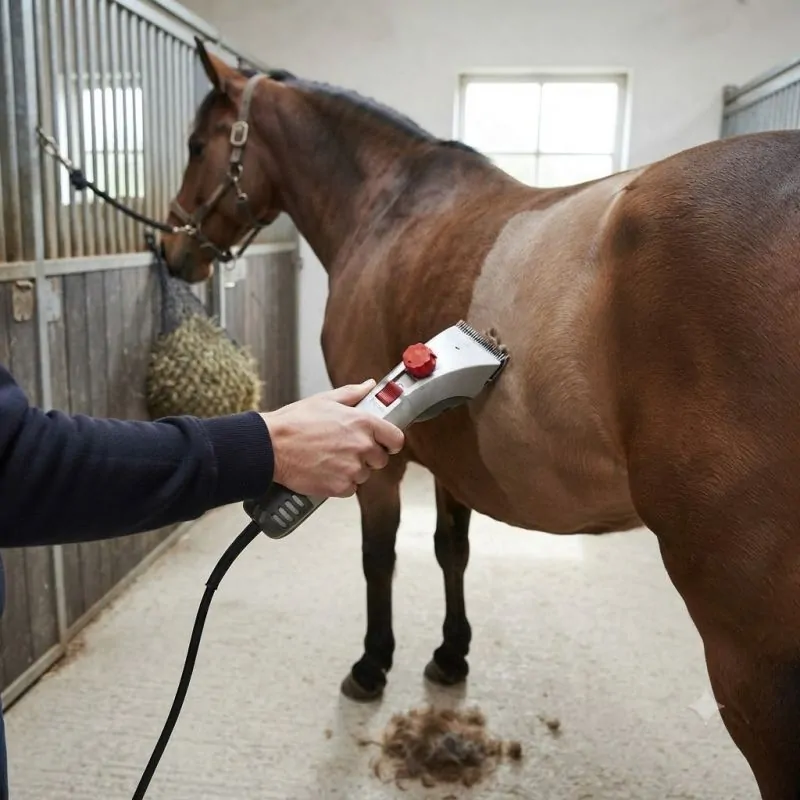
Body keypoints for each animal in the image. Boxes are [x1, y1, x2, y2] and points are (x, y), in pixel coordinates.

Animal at [160, 38, 800, 799]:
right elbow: (450, 550)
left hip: (751, 660)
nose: (171, 249)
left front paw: (373, 665)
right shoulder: (448, 451)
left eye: (198, 144)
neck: (388, 205)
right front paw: (449, 656)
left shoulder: (384, 458)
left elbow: (380, 557)